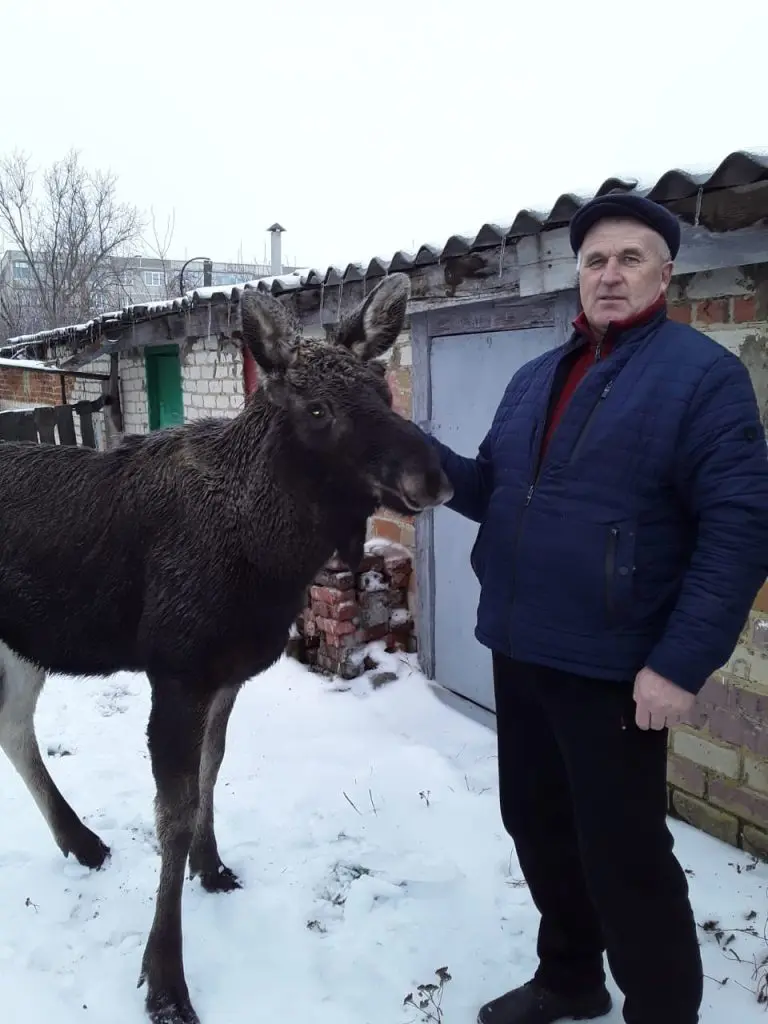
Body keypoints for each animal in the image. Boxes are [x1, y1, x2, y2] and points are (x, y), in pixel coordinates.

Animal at [0, 272, 454, 1024]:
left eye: (385, 392)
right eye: (318, 408)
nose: (433, 478)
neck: (270, 558)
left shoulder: (230, 672)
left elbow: (212, 773)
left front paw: (211, 868)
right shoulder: (177, 669)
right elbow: (173, 812)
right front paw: (165, 980)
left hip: (23, 643)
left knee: (12, 724)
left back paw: (81, 842)